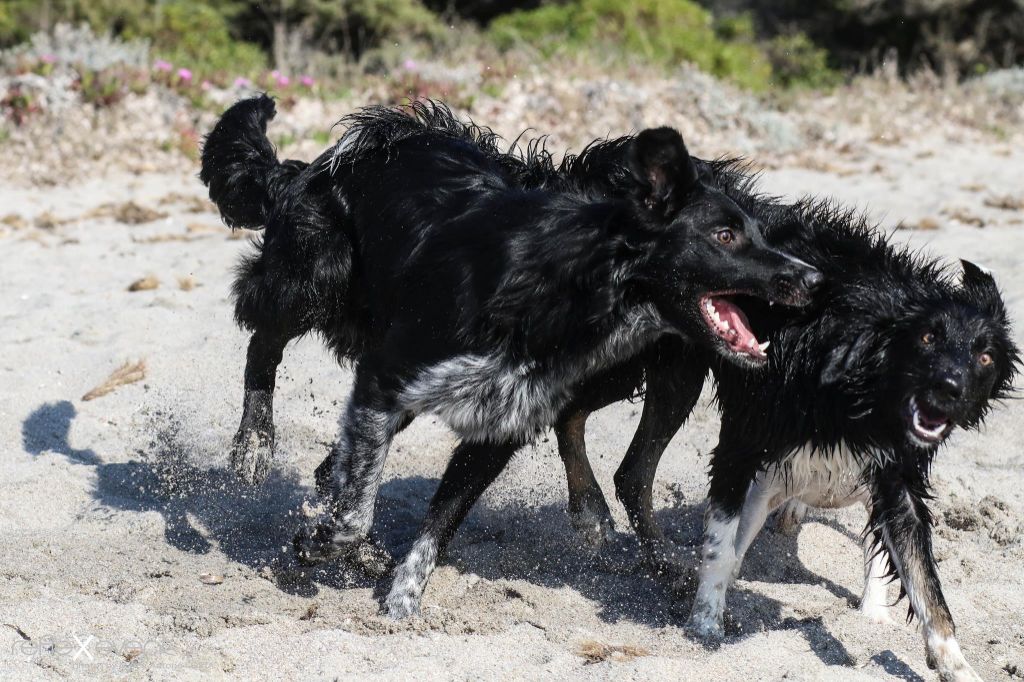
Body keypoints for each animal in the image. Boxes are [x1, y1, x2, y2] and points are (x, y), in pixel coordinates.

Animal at [201, 96, 823, 614]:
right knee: (263, 341)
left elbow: (439, 521)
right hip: (317, 276)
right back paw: (253, 444)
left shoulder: (500, 425)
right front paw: (323, 543)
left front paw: (401, 600)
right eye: (724, 236)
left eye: (758, 233)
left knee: (334, 461)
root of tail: (315, 164)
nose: (812, 278)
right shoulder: (385, 378)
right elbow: (354, 513)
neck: (561, 288)